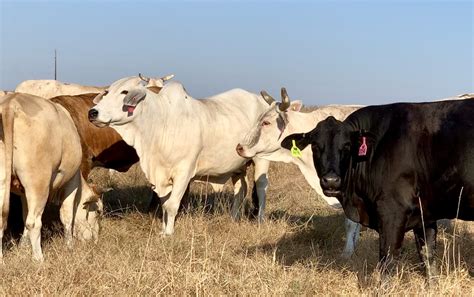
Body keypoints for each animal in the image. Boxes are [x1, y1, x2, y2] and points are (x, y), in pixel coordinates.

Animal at [282, 100, 474, 276]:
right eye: (315, 145)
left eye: (347, 145)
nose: (331, 180)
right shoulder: (425, 214)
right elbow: (428, 258)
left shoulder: (392, 212)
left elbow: (386, 263)